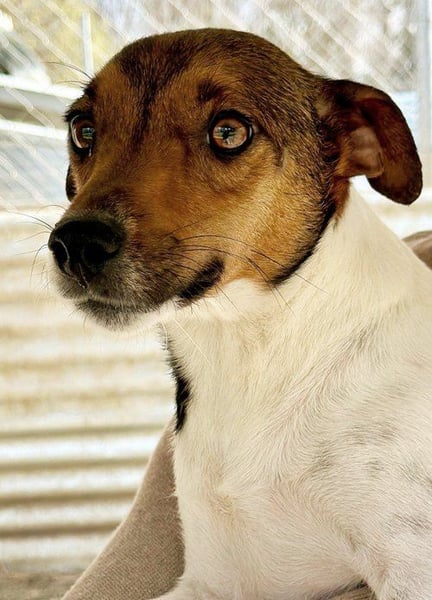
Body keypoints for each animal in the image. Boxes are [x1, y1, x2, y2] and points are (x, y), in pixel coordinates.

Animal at [48, 29, 432, 600]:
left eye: (229, 132)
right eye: (83, 130)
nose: (75, 244)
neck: (251, 351)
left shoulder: (411, 567)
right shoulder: (220, 577)